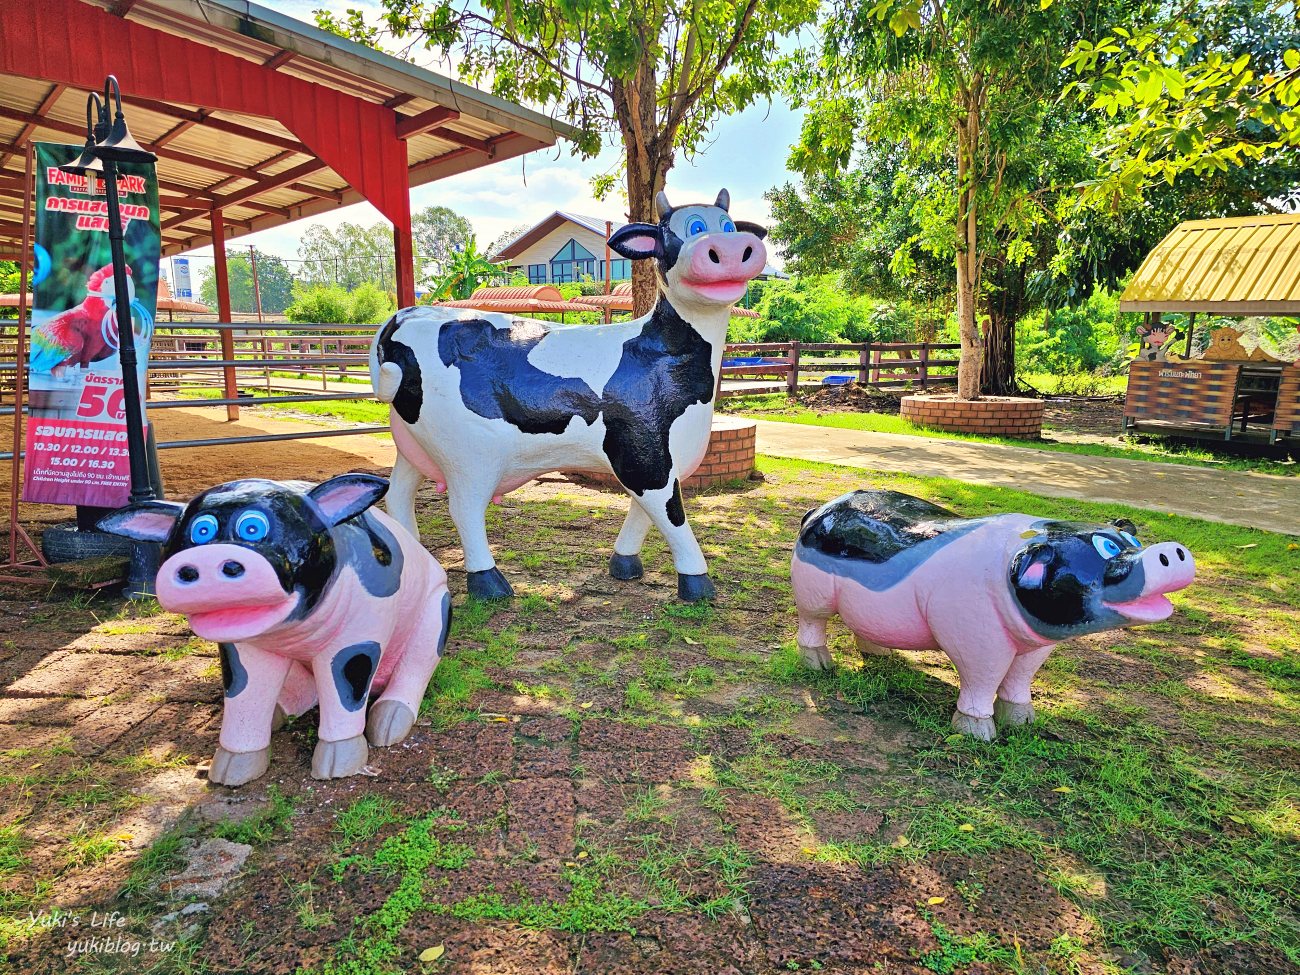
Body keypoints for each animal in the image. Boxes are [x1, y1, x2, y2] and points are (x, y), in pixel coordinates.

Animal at [100, 478, 452, 790]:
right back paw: (277, 716)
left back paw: (388, 724)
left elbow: (345, 690)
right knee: (302, 692)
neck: (297, 630)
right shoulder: (241, 647)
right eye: (201, 531)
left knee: (415, 667)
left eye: (253, 528)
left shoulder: (360, 635)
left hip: (436, 610)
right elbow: (243, 693)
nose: (207, 558)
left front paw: (336, 768)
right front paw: (230, 772)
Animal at [785, 488, 1190, 738]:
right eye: (1106, 548)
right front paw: (977, 733)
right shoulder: (976, 638)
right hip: (811, 592)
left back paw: (881, 655)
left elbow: (1021, 679)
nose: (1173, 550)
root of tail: (818, 510)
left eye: (1133, 541)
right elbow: (983, 677)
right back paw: (820, 665)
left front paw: (1023, 721)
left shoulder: (1036, 646)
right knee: (813, 623)